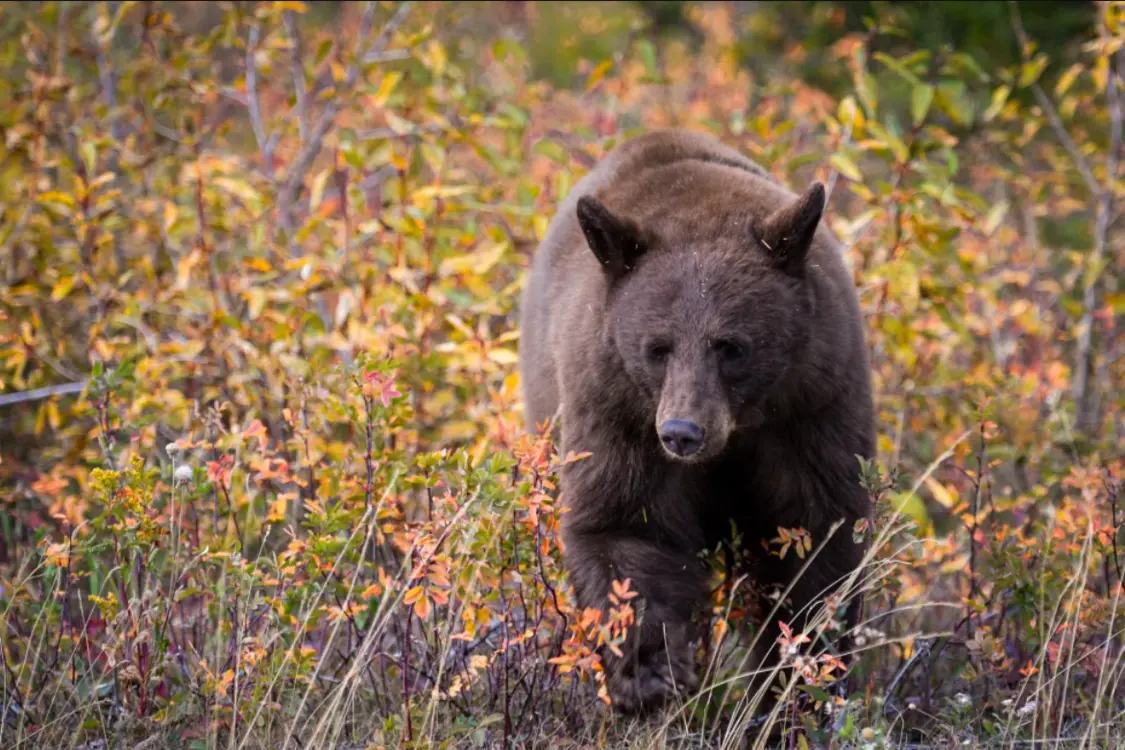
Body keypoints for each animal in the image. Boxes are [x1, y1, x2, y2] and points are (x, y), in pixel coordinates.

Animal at [517, 127, 877, 715]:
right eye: (657, 348)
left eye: (730, 346)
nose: (682, 433)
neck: (736, 434)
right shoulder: (616, 408)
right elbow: (625, 525)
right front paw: (650, 675)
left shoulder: (814, 403)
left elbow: (815, 536)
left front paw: (796, 683)